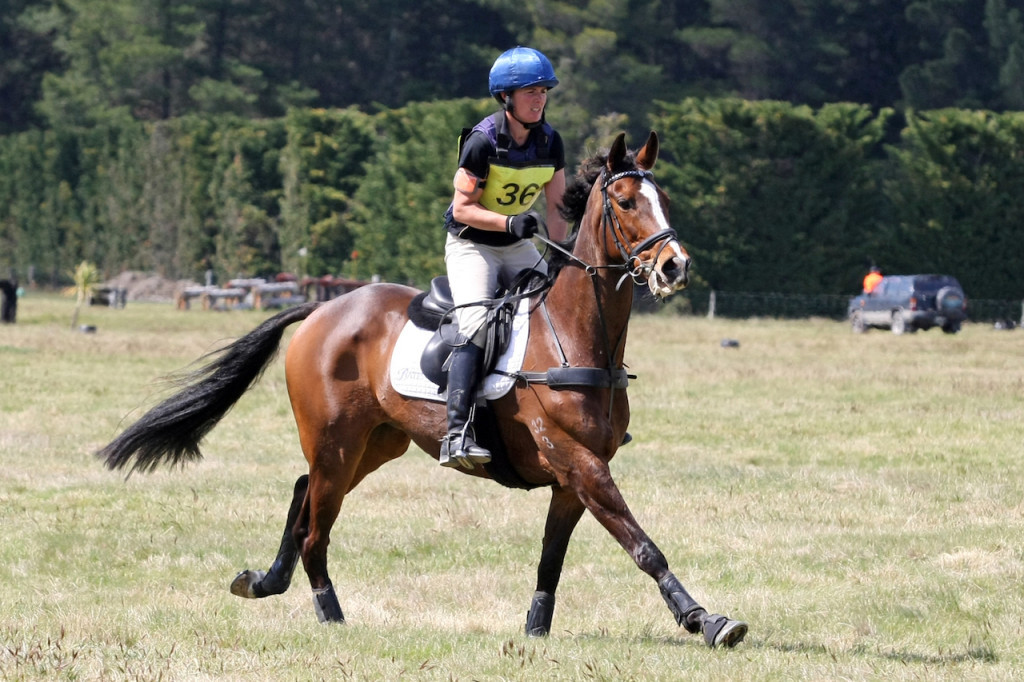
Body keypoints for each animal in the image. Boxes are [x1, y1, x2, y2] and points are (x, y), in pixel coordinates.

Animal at [97, 130, 753, 647]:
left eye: (663, 199)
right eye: (624, 201)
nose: (675, 266)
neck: (576, 331)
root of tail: (323, 308)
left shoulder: (575, 475)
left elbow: (553, 555)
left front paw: (535, 629)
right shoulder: (578, 460)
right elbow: (643, 545)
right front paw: (707, 620)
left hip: (376, 442)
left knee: (304, 489)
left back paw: (264, 581)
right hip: (337, 441)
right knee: (316, 526)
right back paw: (330, 614)